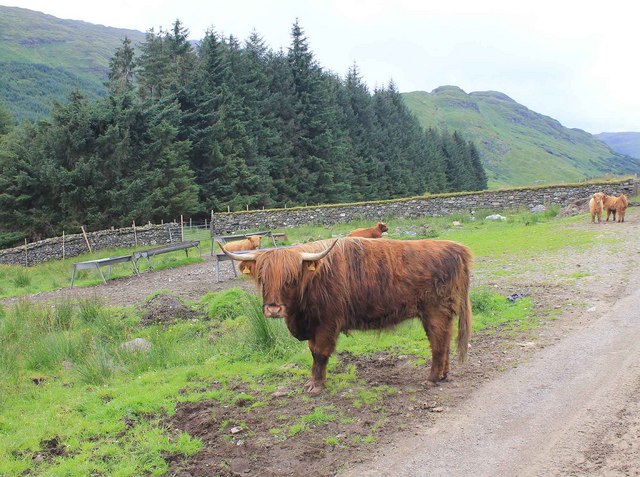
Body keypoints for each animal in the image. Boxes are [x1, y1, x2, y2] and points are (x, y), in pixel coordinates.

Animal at [222, 235, 472, 394]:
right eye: (262, 278)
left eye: (291, 277)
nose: (273, 308)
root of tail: (456, 248)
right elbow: (313, 352)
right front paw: (314, 381)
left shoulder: (327, 323)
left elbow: (319, 353)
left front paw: (316, 386)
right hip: (443, 313)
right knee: (445, 341)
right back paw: (443, 375)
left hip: (435, 311)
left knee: (438, 343)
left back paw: (432, 378)